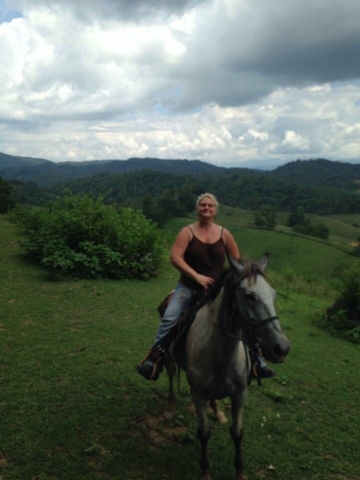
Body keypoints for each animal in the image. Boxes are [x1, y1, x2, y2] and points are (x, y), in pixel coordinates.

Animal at [167, 256, 292, 480]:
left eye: (273, 294)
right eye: (249, 296)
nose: (282, 348)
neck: (220, 355)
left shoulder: (240, 394)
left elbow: (237, 432)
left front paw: (240, 471)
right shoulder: (197, 394)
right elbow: (204, 432)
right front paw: (205, 470)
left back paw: (218, 413)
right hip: (171, 360)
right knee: (171, 375)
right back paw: (171, 402)